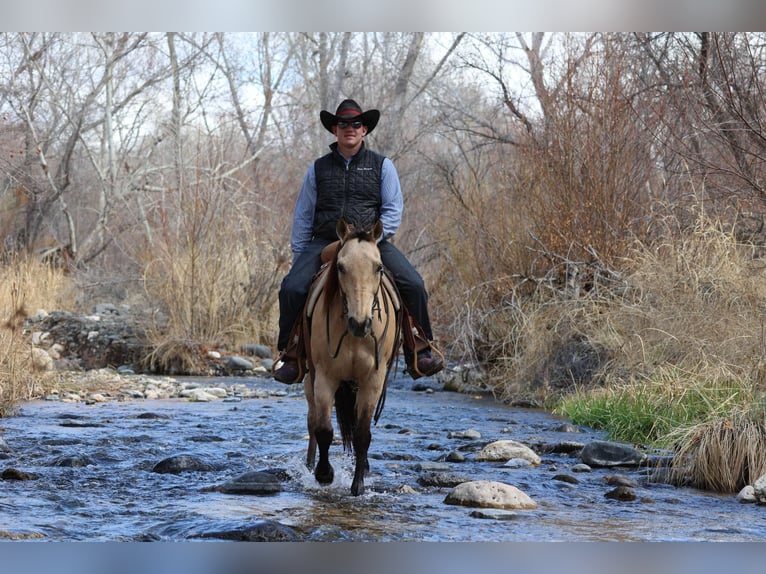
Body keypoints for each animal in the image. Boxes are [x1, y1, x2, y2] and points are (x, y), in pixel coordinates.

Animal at [304, 218, 404, 498]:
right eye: (340, 267)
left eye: (378, 267)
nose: (360, 323)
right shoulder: (324, 377)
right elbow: (324, 430)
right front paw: (324, 475)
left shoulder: (373, 380)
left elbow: (362, 434)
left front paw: (358, 485)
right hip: (309, 380)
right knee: (312, 422)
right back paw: (309, 465)